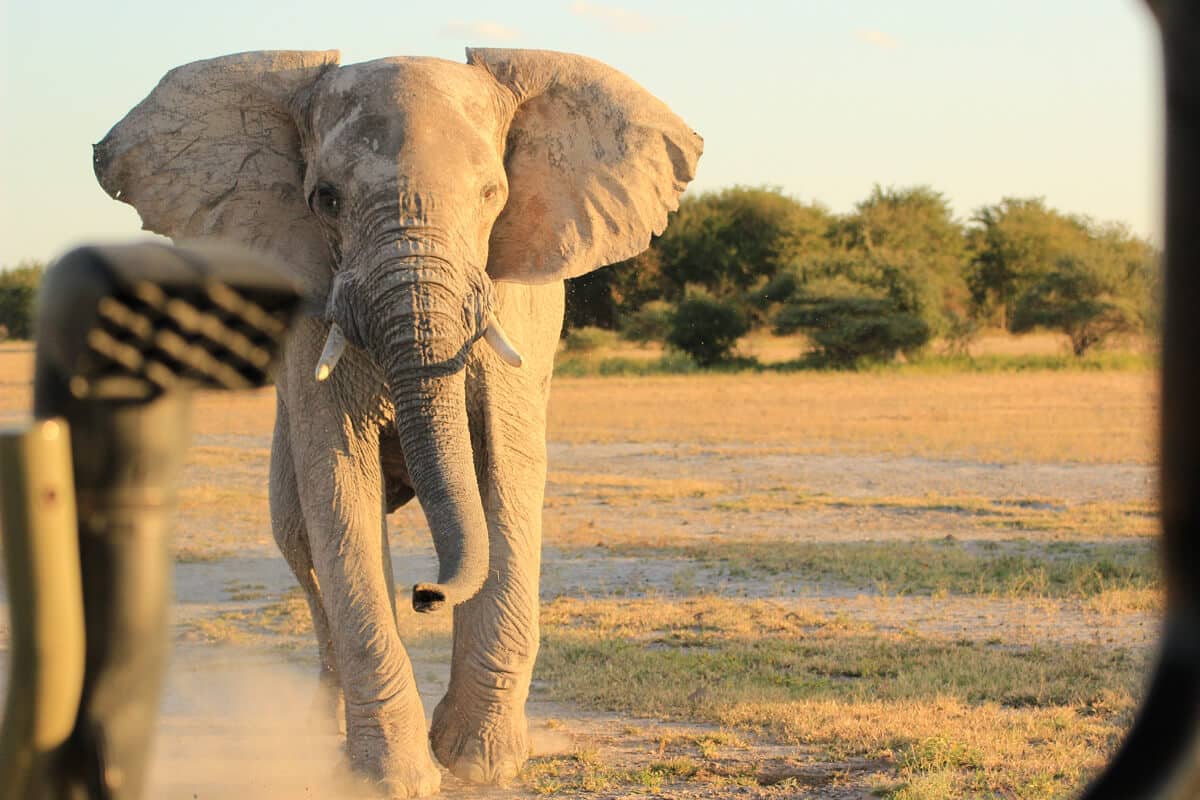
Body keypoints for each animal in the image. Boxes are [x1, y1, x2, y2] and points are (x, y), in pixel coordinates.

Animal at [93, 48, 700, 796]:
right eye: (325, 199)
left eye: (492, 195)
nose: (426, 594)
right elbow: (338, 491)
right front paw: (395, 776)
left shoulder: (514, 308)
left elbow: (507, 474)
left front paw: (478, 763)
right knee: (301, 539)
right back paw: (320, 735)